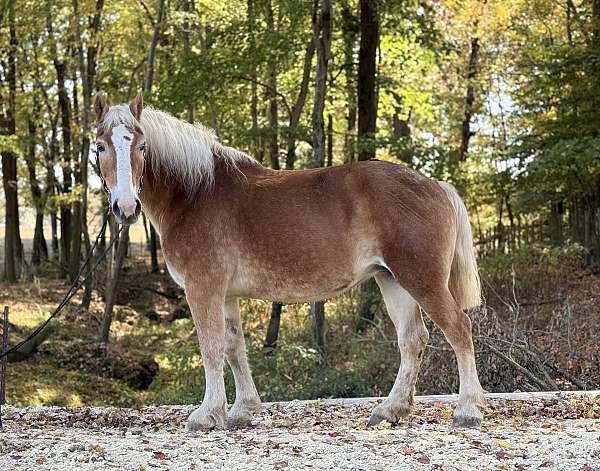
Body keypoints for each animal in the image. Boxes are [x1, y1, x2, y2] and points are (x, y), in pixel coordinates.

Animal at [94, 92, 488, 432]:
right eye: (100, 146)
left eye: (141, 146)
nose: (125, 208)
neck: (195, 194)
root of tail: (436, 186)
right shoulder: (227, 294)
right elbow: (234, 348)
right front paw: (243, 410)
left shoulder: (203, 288)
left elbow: (211, 347)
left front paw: (207, 414)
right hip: (391, 279)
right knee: (412, 339)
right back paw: (390, 410)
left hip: (421, 279)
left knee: (458, 328)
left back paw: (468, 409)